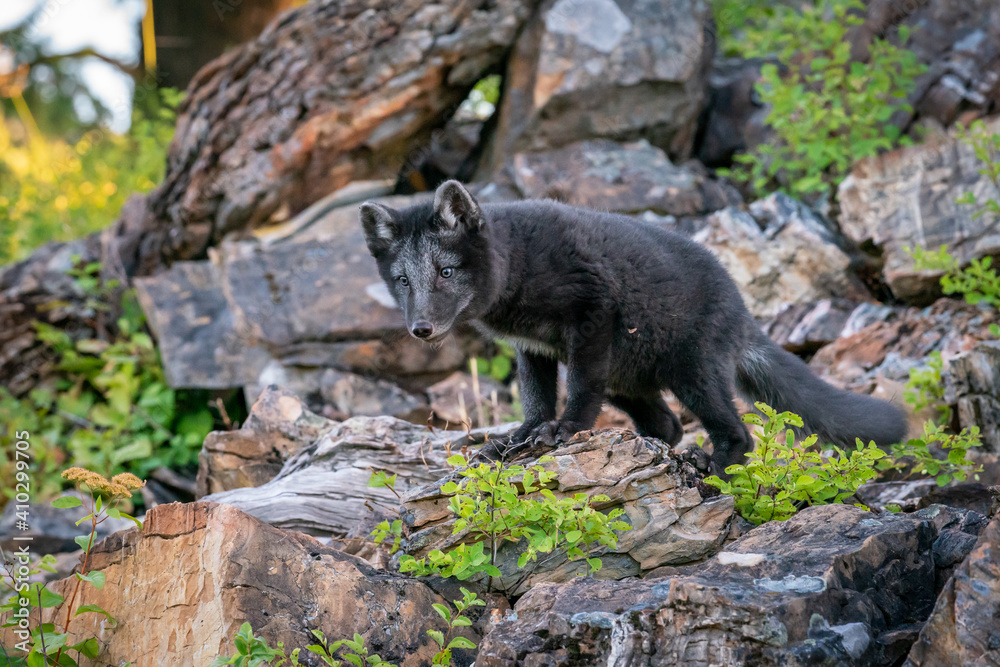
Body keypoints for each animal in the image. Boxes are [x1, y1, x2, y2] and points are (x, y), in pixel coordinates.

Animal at [359, 180, 908, 470]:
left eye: (446, 272)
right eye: (402, 280)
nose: (421, 330)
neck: (519, 265)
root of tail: (742, 310)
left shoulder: (592, 313)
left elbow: (579, 391)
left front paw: (565, 431)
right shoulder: (533, 348)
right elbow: (535, 401)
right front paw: (516, 440)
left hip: (692, 373)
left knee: (737, 434)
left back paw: (714, 466)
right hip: (628, 380)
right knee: (667, 426)